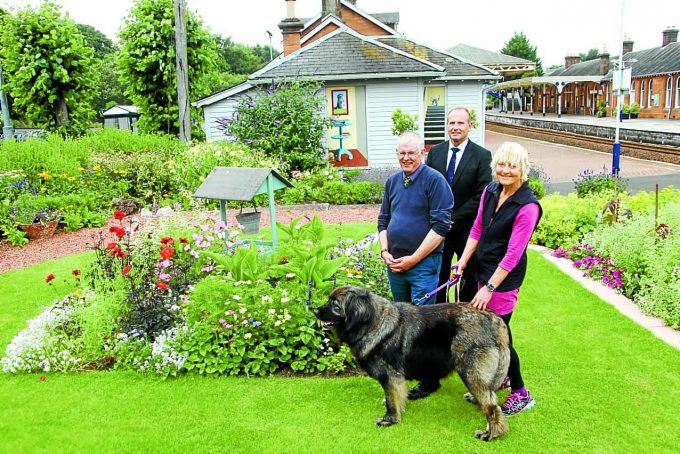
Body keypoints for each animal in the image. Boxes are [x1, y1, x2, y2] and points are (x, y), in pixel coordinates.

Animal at [314, 288, 510, 440]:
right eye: (329, 300)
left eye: (335, 305)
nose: (315, 311)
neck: (371, 322)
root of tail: (493, 318)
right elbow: (395, 397)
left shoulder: (390, 375)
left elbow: (391, 401)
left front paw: (389, 420)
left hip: (470, 371)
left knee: (492, 407)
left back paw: (491, 434)